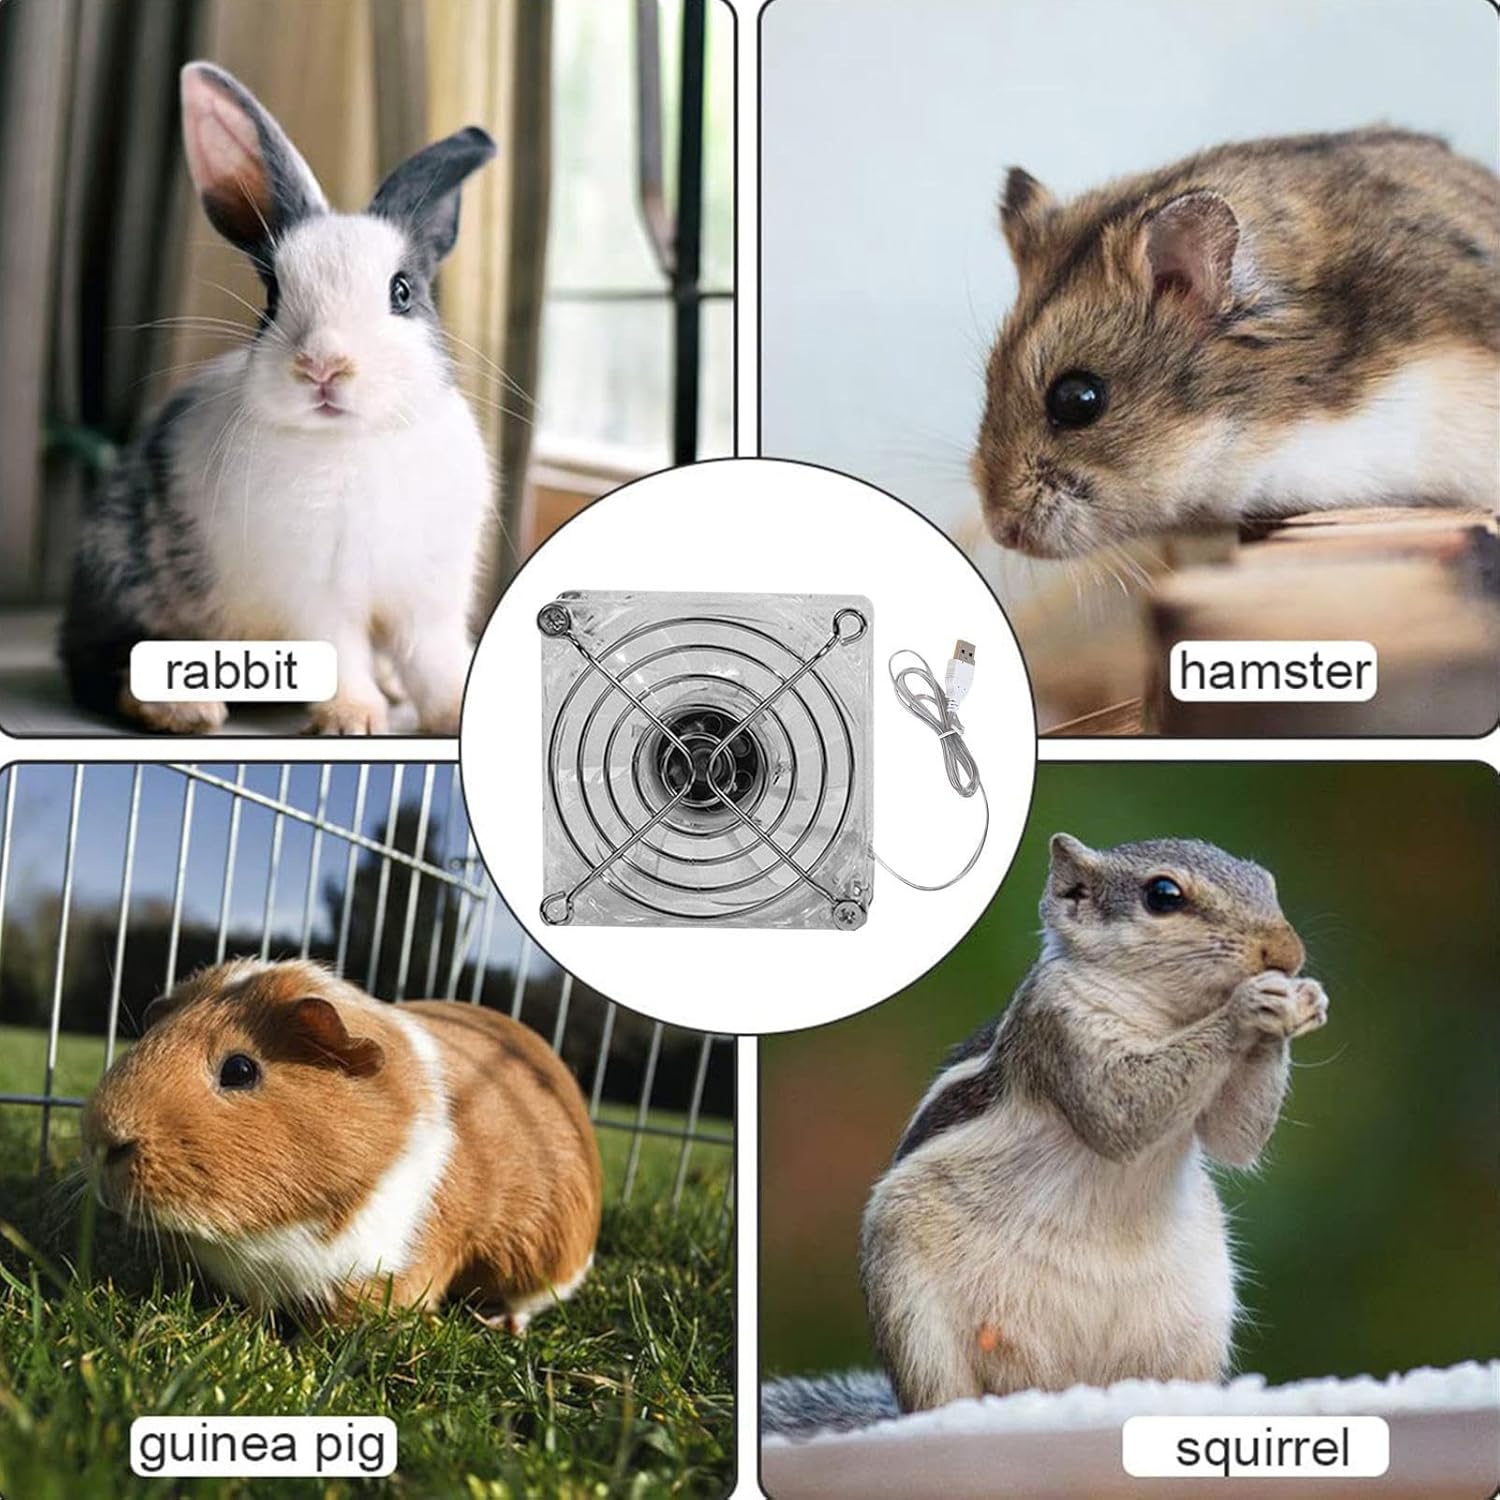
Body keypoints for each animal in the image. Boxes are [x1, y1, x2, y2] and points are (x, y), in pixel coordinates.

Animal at [61, 63, 497, 735]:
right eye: (271, 297)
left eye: (402, 291)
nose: (323, 365)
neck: (353, 441)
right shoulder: (316, 593)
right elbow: (341, 651)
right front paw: (351, 719)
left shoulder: (429, 595)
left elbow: (436, 659)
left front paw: (453, 711)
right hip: (124, 578)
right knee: (103, 664)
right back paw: (188, 707)